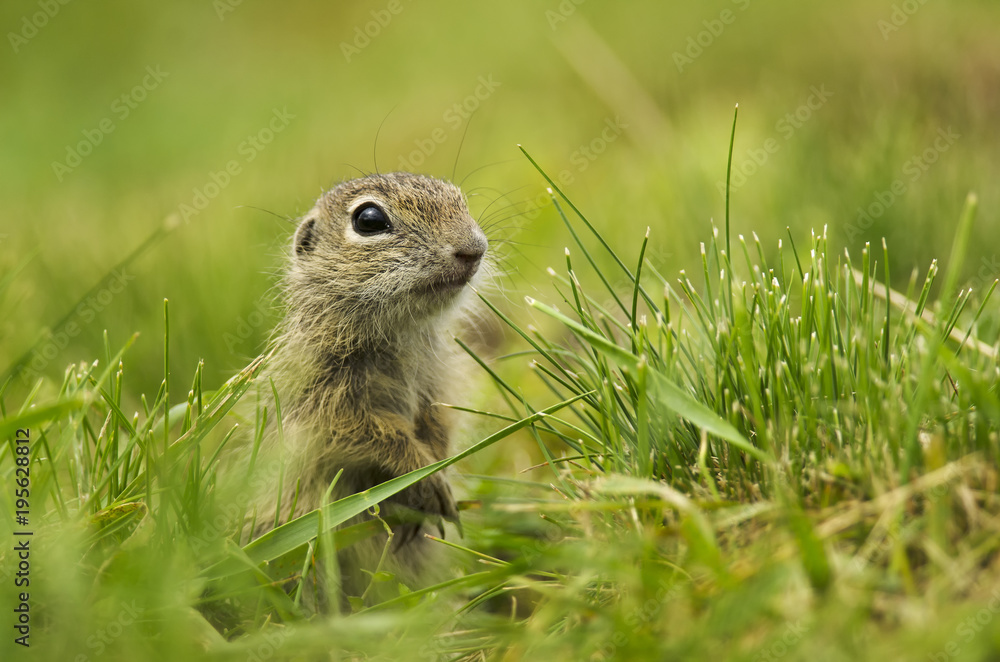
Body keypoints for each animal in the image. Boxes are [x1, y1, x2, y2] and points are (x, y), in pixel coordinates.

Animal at [250, 171, 489, 597]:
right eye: (369, 220)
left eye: (459, 200)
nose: (473, 249)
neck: (399, 330)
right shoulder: (329, 407)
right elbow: (374, 437)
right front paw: (428, 478)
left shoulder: (439, 385)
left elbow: (439, 421)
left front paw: (441, 468)